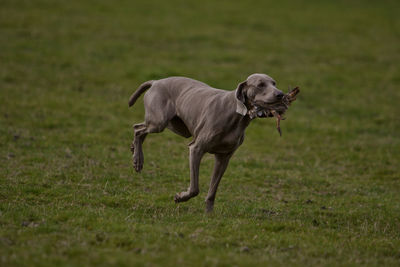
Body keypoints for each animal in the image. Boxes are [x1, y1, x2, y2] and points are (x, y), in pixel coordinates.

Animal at [129, 74, 284, 214]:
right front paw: (180, 197)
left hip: (171, 124)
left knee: (141, 130)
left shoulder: (223, 158)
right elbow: (194, 188)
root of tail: (156, 82)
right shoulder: (196, 149)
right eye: (260, 85)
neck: (236, 116)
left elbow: (213, 190)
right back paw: (138, 160)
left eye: (274, 83)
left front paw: (209, 214)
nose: (280, 94)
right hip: (159, 122)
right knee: (137, 129)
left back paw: (134, 150)